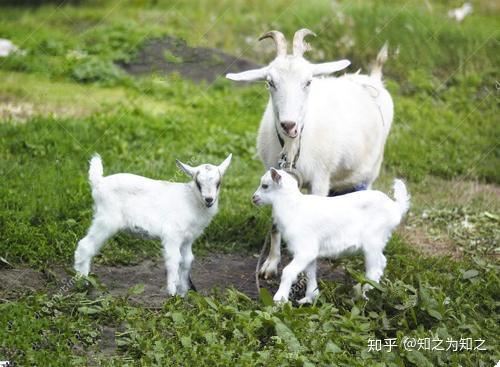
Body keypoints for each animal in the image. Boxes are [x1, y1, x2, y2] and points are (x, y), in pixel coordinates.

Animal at [228, 29, 394, 278]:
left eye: (308, 82)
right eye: (270, 82)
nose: (289, 124)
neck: (292, 147)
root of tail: (373, 79)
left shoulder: (320, 178)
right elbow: (276, 223)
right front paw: (271, 264)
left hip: (370, 170)